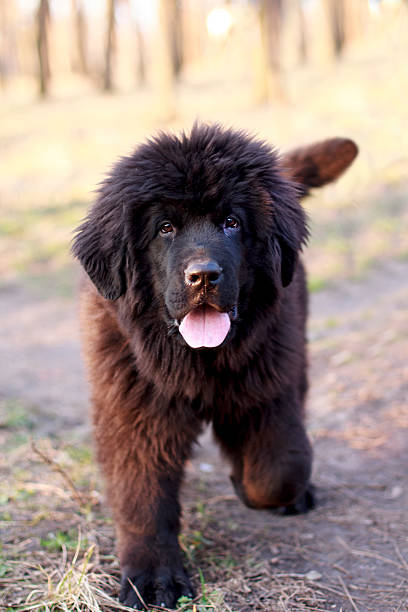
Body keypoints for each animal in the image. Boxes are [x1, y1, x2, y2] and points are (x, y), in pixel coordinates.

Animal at [72, 124, 356, 608]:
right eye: (165, 228)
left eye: (232, 222)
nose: (203, 276)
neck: (198, 361)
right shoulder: (136, 413)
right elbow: (143, 498)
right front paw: (155, 579)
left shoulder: (269, 389)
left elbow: (280, 468)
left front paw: (256, 486)